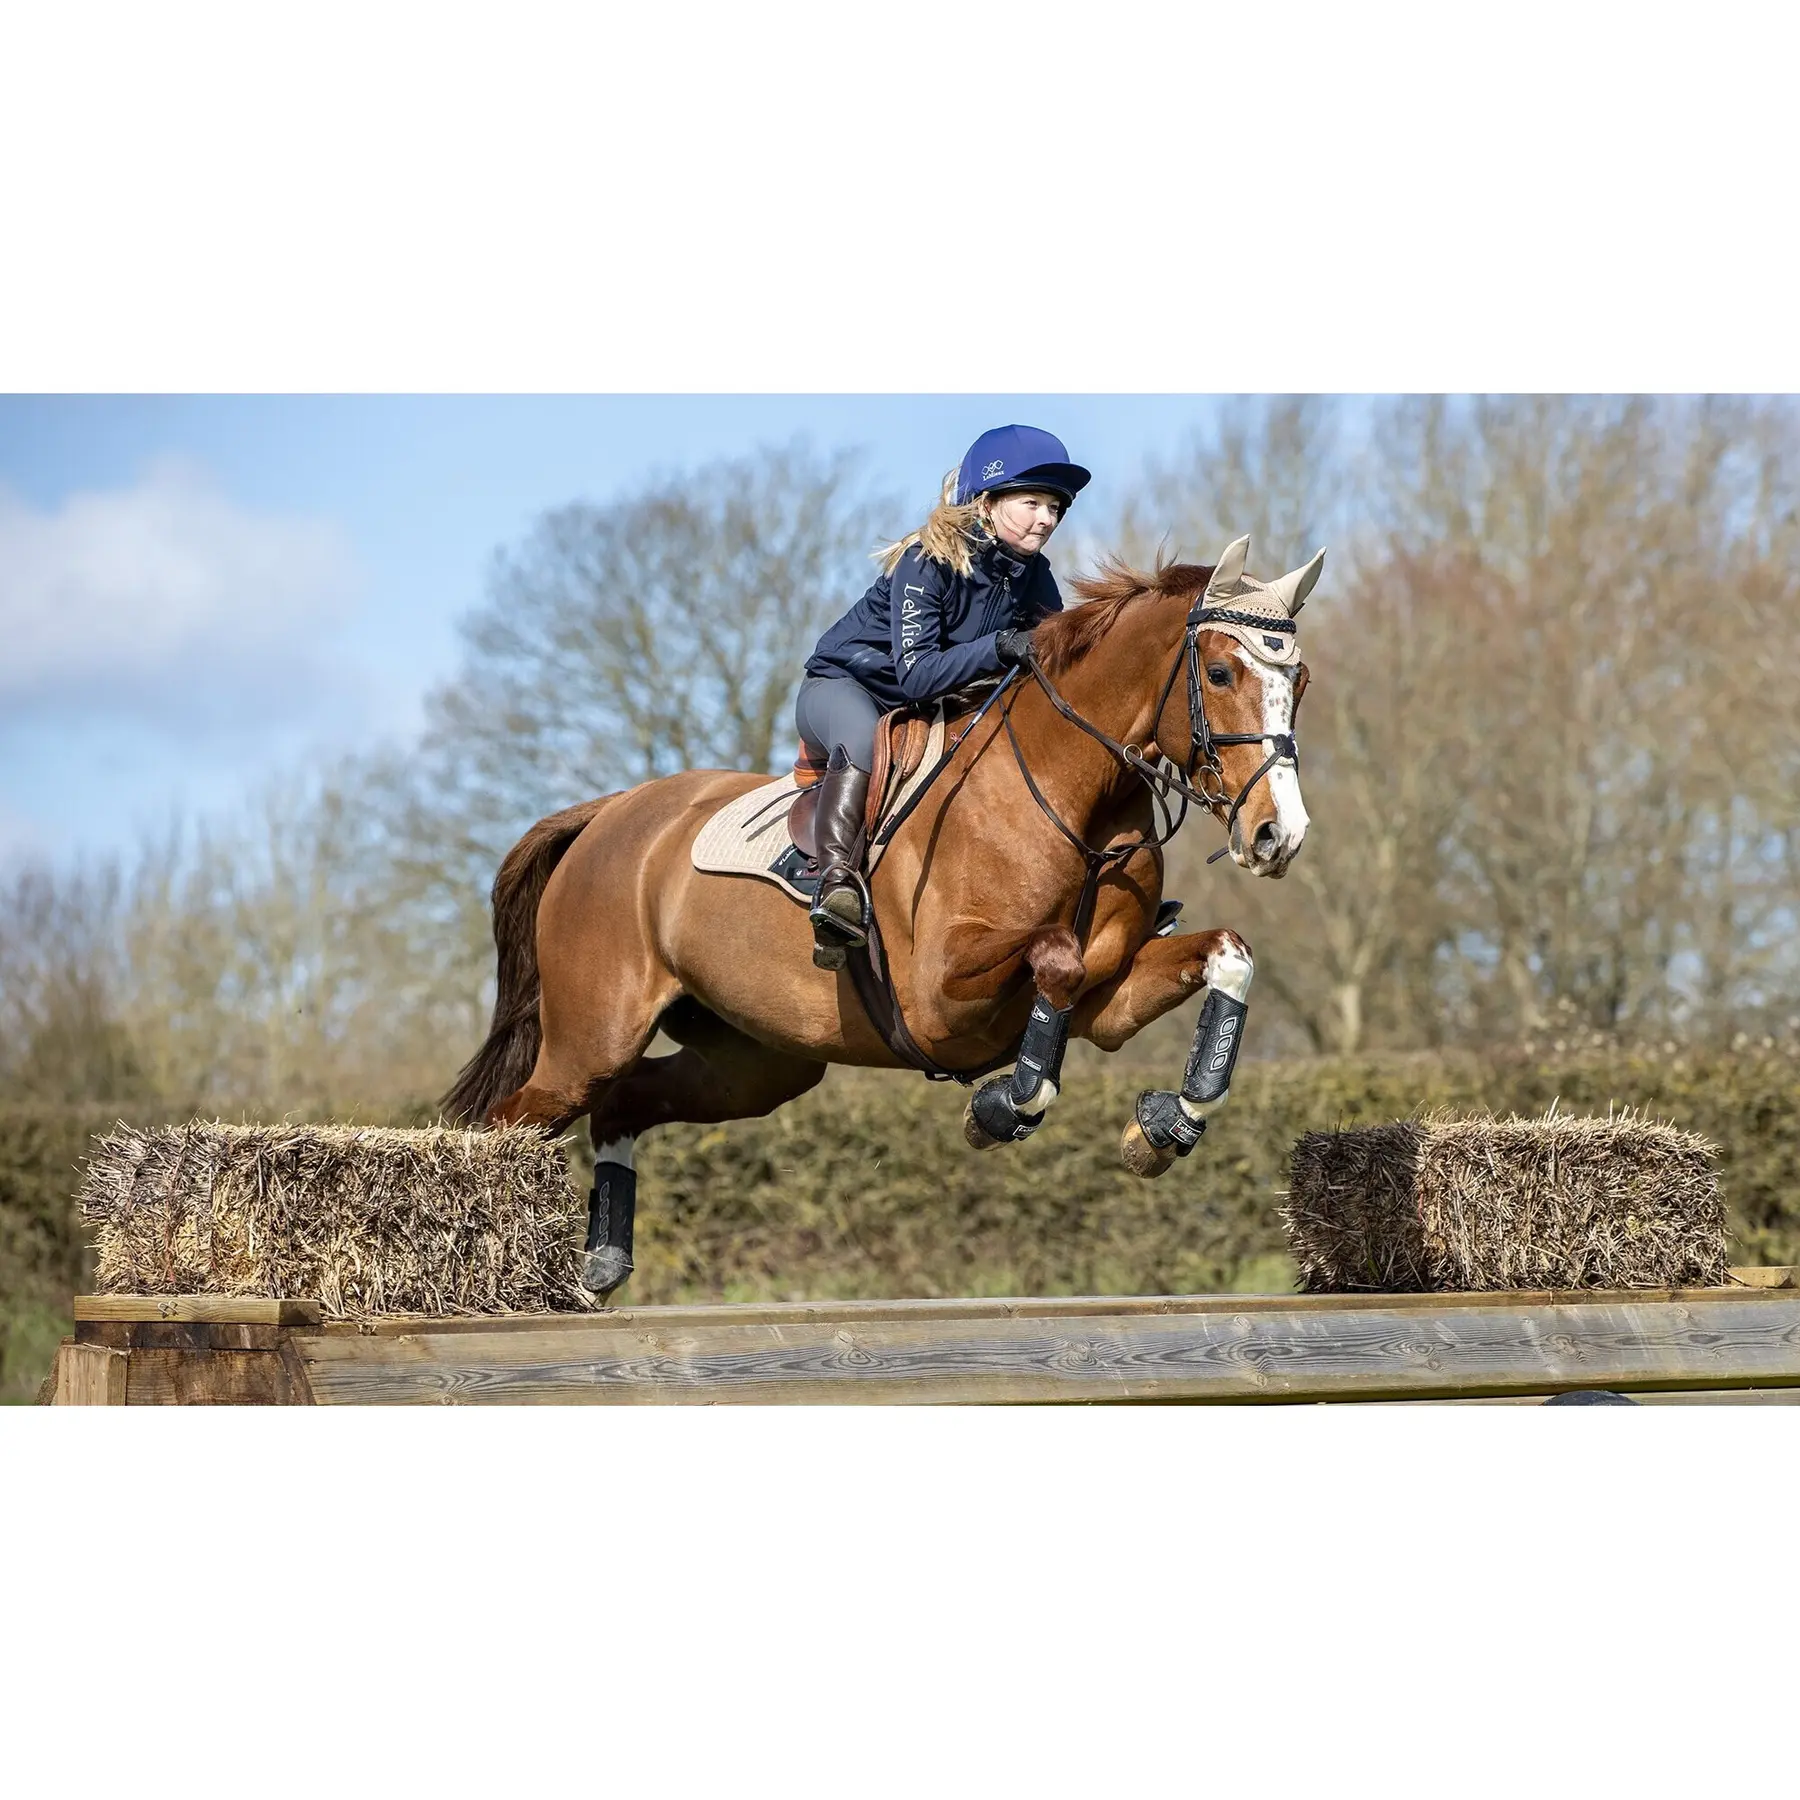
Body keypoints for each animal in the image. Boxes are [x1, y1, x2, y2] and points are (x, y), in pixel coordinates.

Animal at [443, 534, 1326, 1296]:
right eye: (1220, 673)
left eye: (1302, 683)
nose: (1278, 835)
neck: (1073, 792)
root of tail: (608, 813)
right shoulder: (939, 999)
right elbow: (1056, 961)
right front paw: (999, 1109)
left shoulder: (1108, 1000)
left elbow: (1225, 958)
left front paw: (1163, 1126)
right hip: (591, 1038)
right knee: (506, 1124)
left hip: (753, 1064)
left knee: (623, 1104)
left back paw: (599, 1266)